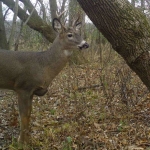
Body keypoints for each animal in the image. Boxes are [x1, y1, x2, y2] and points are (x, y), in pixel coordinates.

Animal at [0, 12, 89, 145]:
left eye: (79, 33)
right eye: (70, 35)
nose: (86, 44)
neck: (42, 65)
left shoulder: (32, 91)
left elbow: (29, 114)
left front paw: (28, 140)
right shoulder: (22, 87)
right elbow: (24, 116)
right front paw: (21, 143)